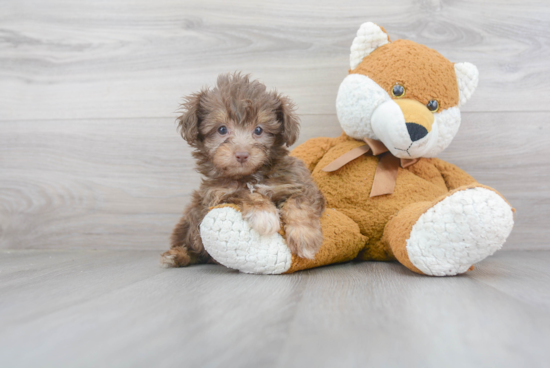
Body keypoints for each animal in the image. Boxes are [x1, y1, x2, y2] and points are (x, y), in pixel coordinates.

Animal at [163, 72, 328, 268]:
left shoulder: (299, 181)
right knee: (191, 245)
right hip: (191, 218)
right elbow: (244, 192)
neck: (250, 175)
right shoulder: (216, 194)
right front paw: (264, 214)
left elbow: (299, 203)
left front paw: (305, 238)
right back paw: (176, 255)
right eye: (222, 129)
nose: (242, 155)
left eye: (258, 130)